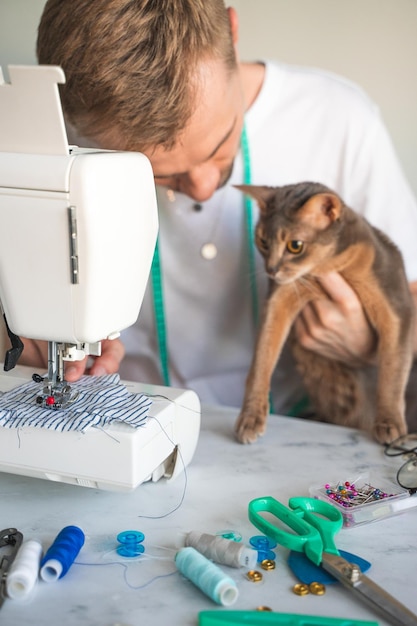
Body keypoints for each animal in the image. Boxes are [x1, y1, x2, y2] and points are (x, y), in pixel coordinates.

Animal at [234, 180, 412, 444]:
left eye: (295, 246)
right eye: (263, 242)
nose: (271, 270)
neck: (324, 267)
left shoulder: (396, 303)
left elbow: (393, 369)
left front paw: (389, 422)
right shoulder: (278, 299)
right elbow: (261, 360)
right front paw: (250, 417)